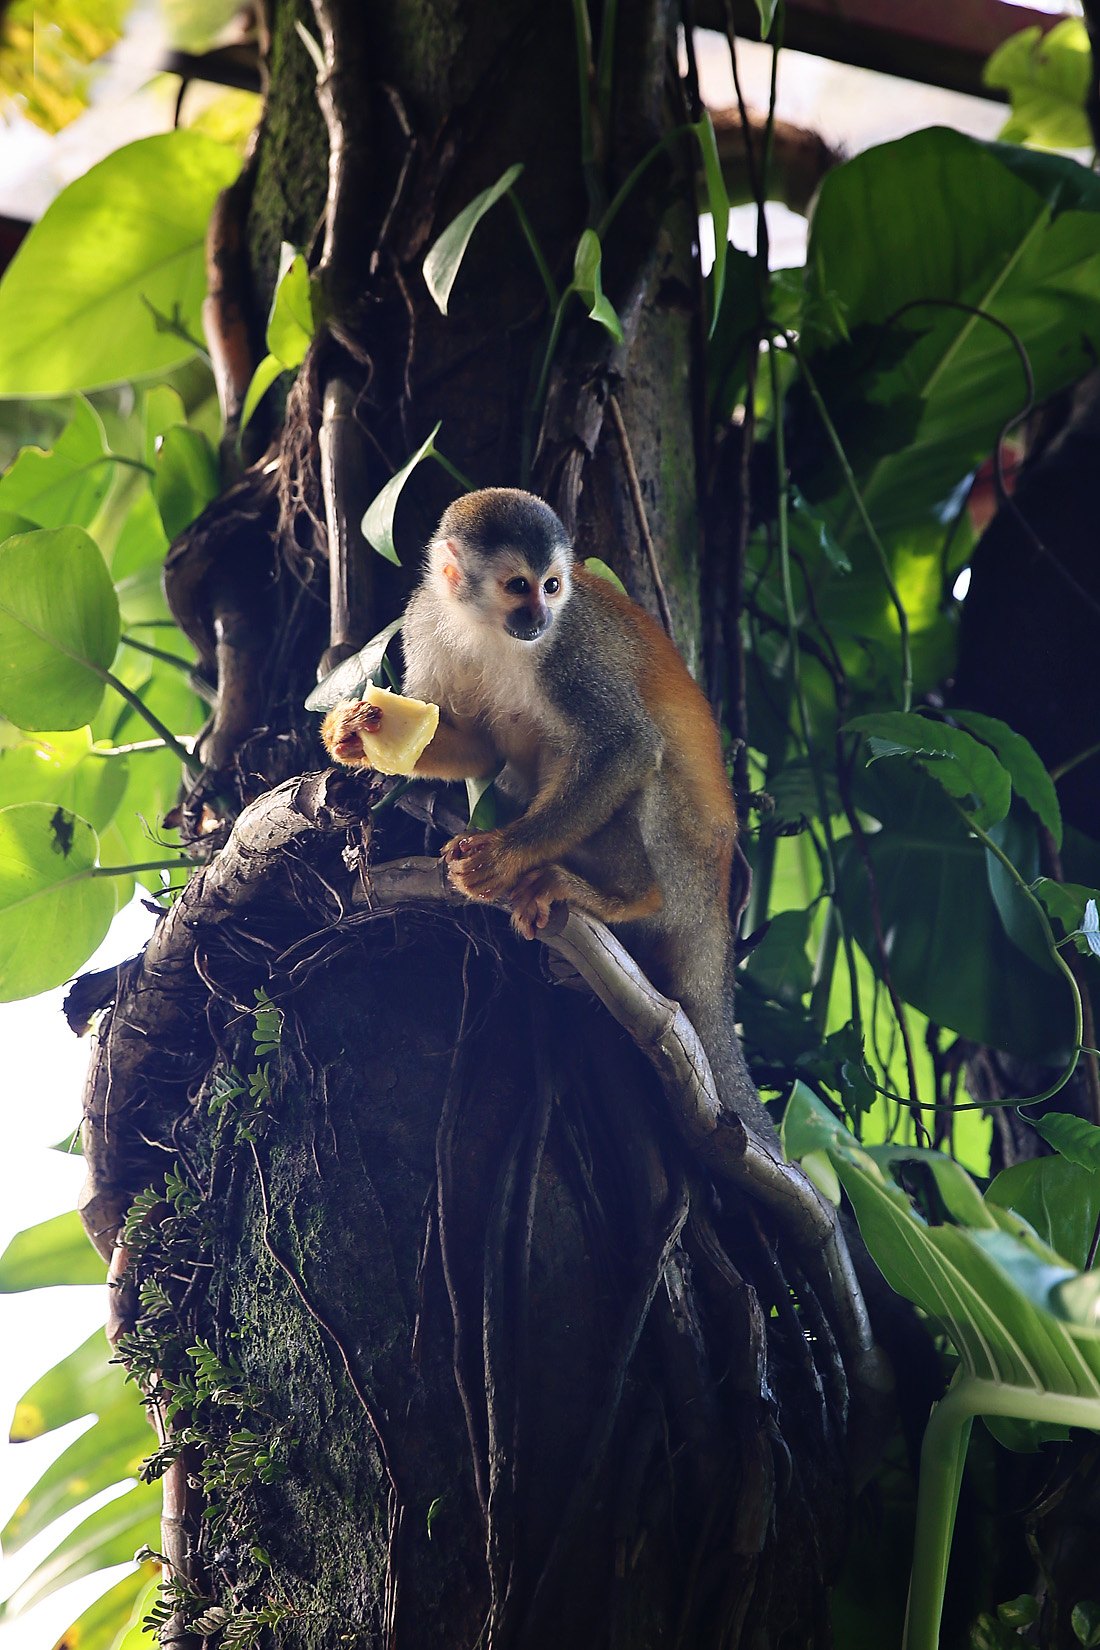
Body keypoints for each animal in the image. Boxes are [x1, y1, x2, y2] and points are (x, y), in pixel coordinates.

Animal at [323, 485, 771, 1135]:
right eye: (518, 586)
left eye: (553, 586)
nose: (537, 618)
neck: (486, 629)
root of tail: (717, 909)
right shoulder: (426, 623)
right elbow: (476, 745)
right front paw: (353, 734)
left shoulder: (570, 649)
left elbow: (628, 745)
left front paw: (503, 856)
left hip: (687, 867)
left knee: (631, 765)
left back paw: (625, 896)